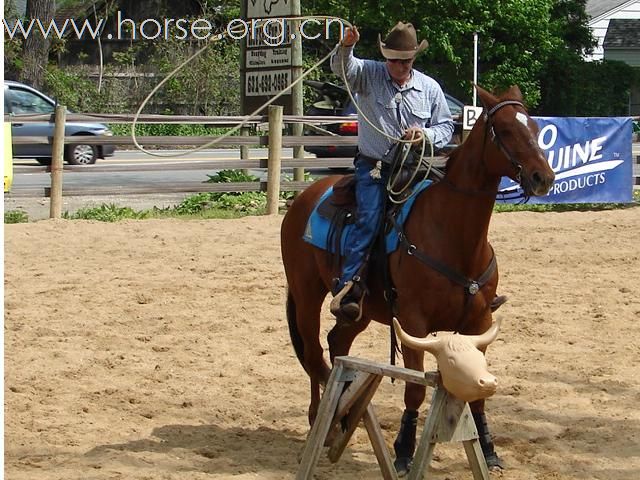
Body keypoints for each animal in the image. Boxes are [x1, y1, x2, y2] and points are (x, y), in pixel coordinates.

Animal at [280, 85, 556, 472]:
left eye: (534, 126)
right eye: (504, 130)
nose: (543, 177)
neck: (454, 236)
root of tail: (306, 195)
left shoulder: (480, 322)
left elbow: (479, 396)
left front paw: (489, 449)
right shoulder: (414, 322)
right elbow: (415, 390)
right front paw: (403, 451)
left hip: (361, 311)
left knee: (338, 342)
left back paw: (343, 416)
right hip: (306, 294)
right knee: (313, 351)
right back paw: (320, 420)